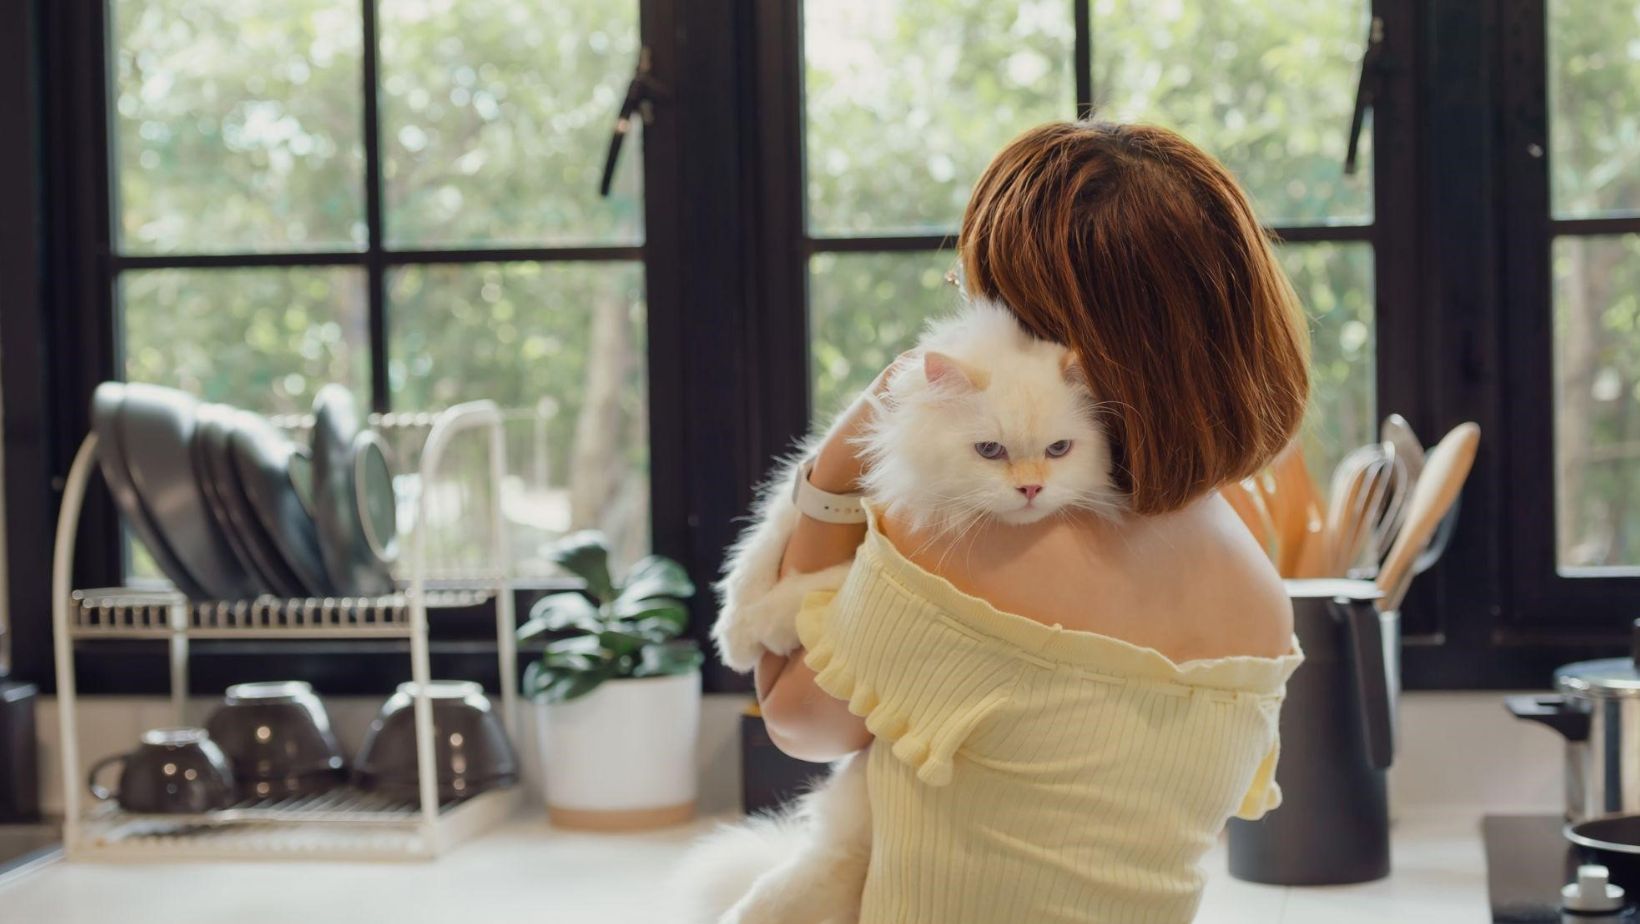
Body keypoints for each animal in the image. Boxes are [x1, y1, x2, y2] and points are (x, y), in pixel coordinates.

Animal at [682, 300, 1128, 919]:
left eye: (1059, 451)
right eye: (990, 451)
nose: (1031, 490)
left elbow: (817, 584)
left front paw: (762, 626)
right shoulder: (865, 487)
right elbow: (766, 541)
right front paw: (735, 634)